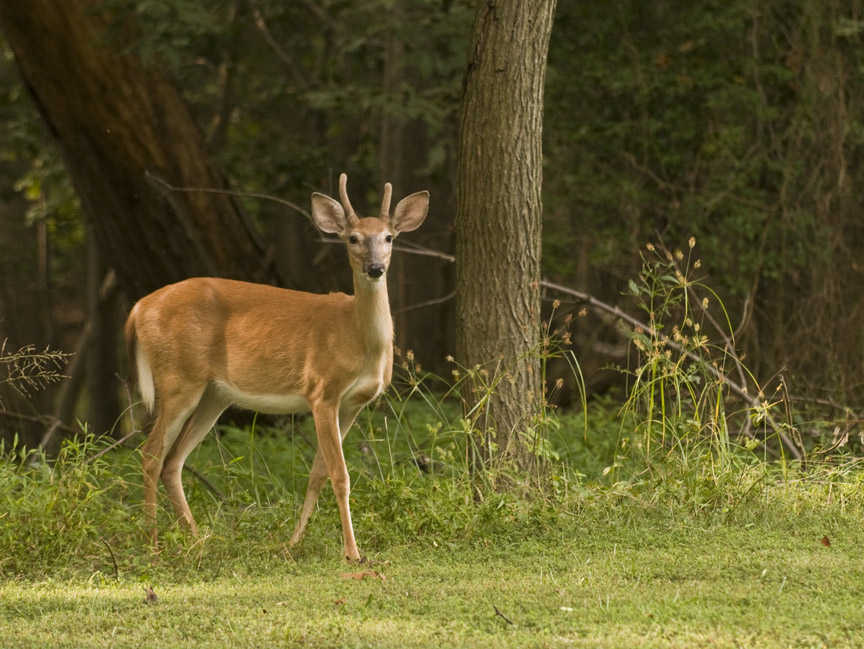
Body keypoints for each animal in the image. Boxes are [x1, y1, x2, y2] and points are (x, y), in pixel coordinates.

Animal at [125, 173, 429, 561]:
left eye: (389, 237)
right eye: (353, 238)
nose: (375, 268)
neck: (357, 337)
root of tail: (137, 308)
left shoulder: (352, 404)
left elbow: (318, 473)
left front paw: (293, 541)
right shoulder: (321, 390)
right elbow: (340, 475)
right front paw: (352, 552)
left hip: (213, 395)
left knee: (173, 461)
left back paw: (198, 539)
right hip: (178, 378)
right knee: (151, 453)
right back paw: (154, 544)